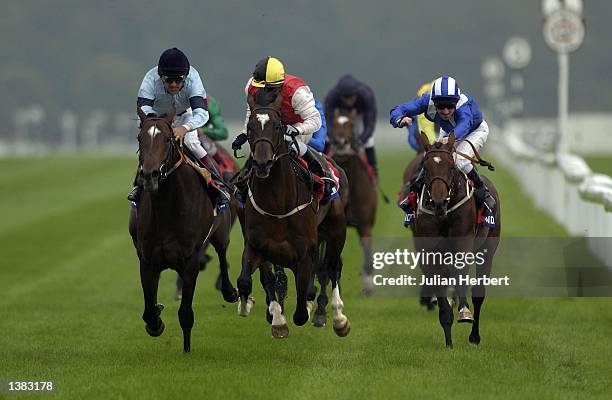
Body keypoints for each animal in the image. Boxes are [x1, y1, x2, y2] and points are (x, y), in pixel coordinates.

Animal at [128, 108, 237, 352]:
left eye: (168, 139)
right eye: (139, 138)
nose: (149, 175)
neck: (168, 208)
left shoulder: (190, 261)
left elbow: (186, 313)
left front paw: (186, 350)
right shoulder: (146, 260)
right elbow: (148, 309)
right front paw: (156, 321)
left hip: (222, 231)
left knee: (223, 253)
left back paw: (229, 290)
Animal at [235, 92, 352, 340]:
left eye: (277, 126)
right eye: (249, 127)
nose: (262, 163)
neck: (278, 203)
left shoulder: (305, 251)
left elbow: (301, 303)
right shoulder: (256, 245)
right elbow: (250, 281)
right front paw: (265, 313)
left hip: (337, 231)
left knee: (332, 268)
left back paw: (338, 318)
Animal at [330, 108, 378, 296]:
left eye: (350, 124)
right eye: (333, 123)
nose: (340, 142)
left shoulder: (365, 225)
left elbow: (368, 252)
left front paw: (368, 287)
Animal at [414, 132, 500, 346]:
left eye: (451, 167)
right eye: (425, 168)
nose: (438, 202)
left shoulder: (463, 243)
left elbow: (461, 275)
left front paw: (464, 312)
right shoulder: (429, 251)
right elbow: (439, 288)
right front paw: (448, 341)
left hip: (488, 248)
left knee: (478, 293)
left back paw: (474, 336)